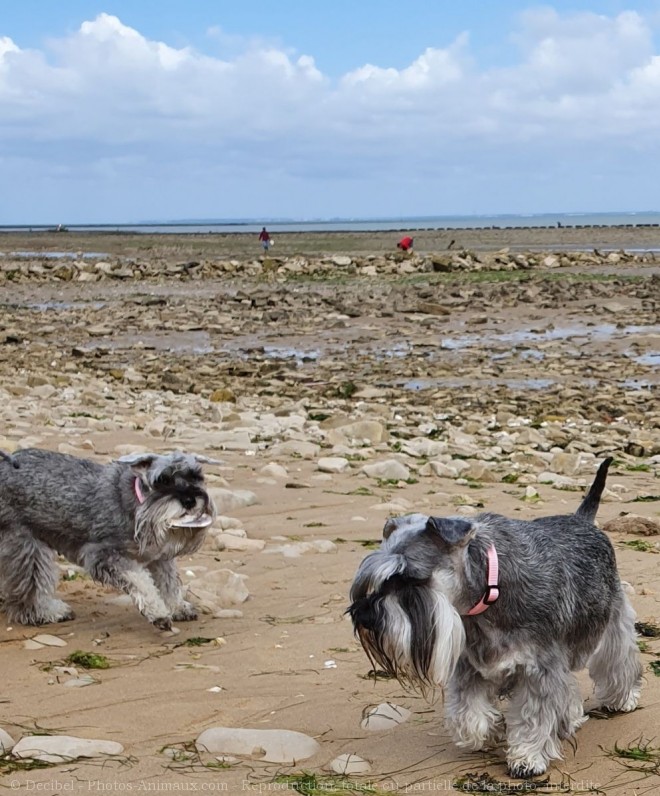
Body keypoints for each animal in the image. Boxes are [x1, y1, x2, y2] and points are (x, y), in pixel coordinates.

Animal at [0, 450, 218, 632]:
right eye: (162, 480)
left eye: (196, 476)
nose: (190, 500)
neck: (138, 504)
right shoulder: (104, 555)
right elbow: (140, 581)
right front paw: (158, 612)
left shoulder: (159, 558)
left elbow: (169, 583)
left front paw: (177, 606)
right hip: (26, 545)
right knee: (30, 586)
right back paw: (45, 612)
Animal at [348, 460, 640, 776]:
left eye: (409, 578)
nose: (364, 617)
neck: (489, 591)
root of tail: (582, 520)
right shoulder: (470, 667)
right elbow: (468, 715)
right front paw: (491, 731)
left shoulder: (540, 668)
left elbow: (536, 715)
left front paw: (527, 757)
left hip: (613, 623)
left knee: (619, 662)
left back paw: (623, 698)